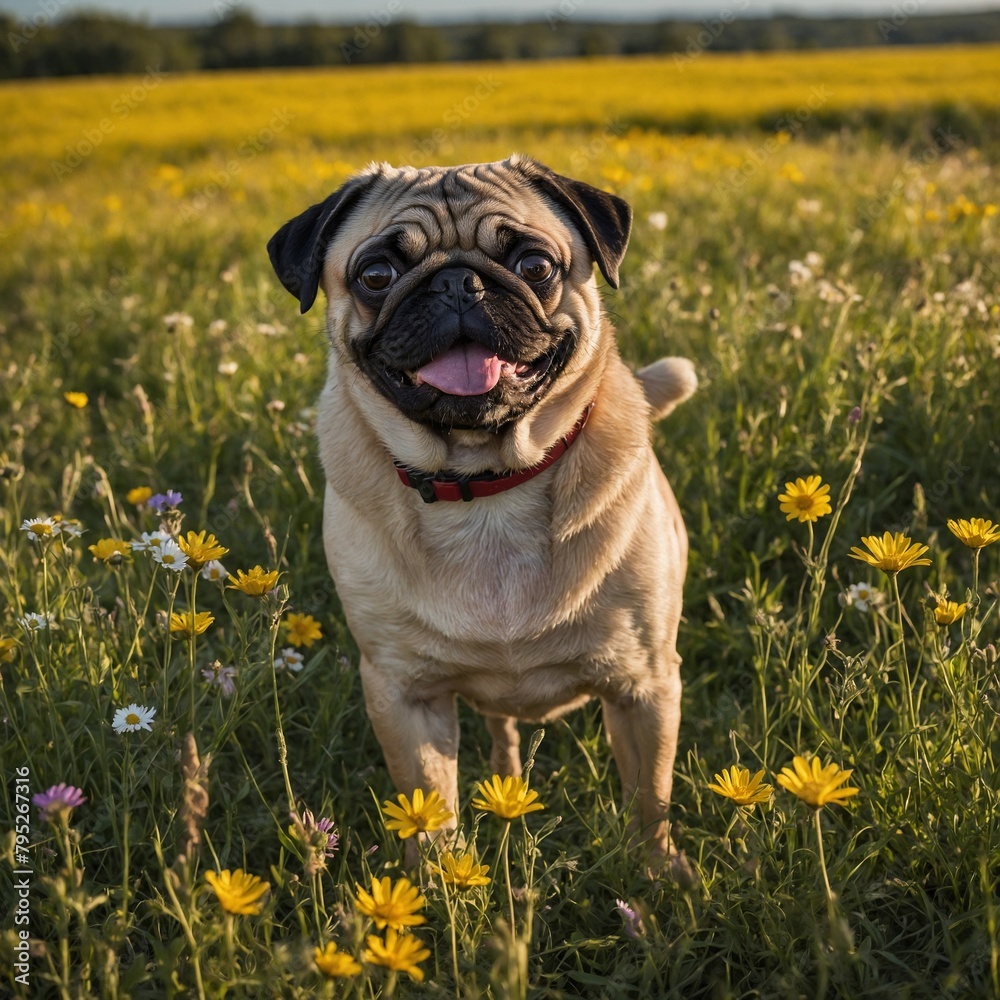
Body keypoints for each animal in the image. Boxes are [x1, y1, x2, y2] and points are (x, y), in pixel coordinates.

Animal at [270, 154, 700, 860]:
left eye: (536, 266)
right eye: (376, 275)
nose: (457, 283)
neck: (489, 485)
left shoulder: (646, 687)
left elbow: (650, 802)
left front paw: (661, 878)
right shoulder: (404, 696)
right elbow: (428, 814)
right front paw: (435, 884)